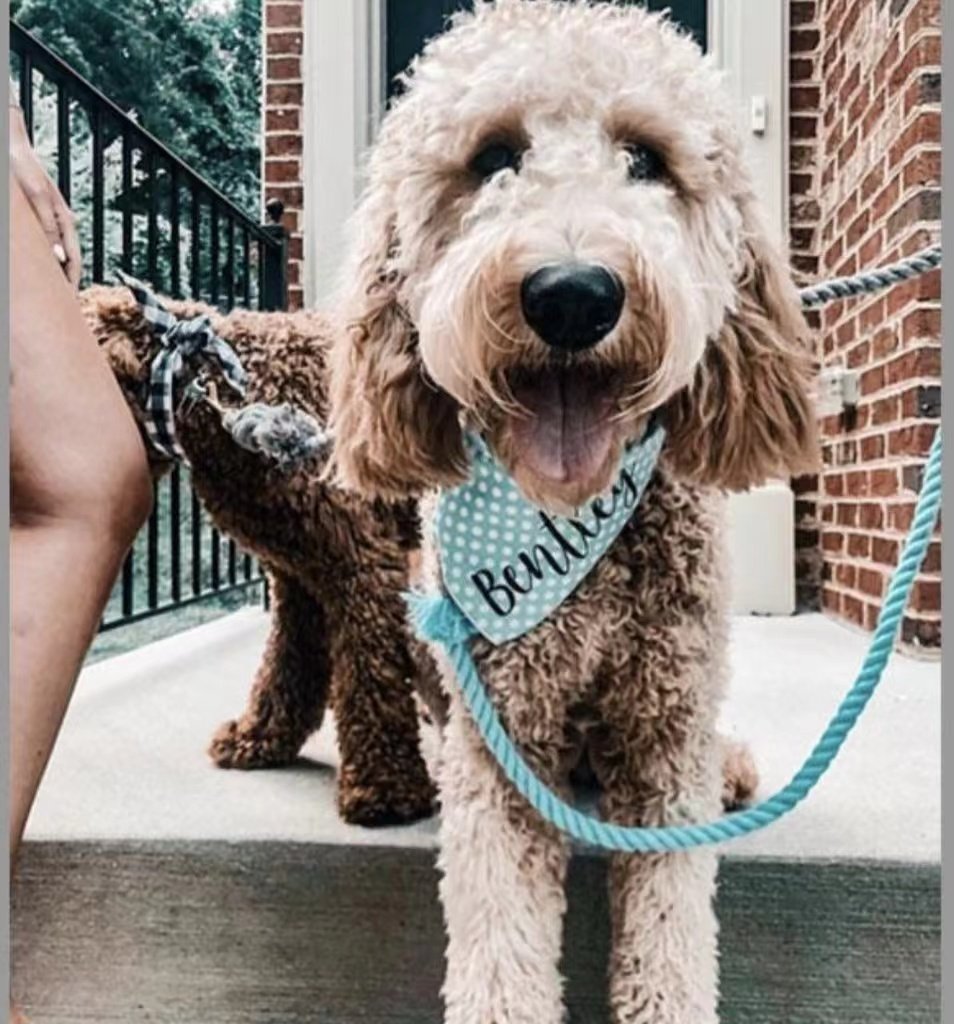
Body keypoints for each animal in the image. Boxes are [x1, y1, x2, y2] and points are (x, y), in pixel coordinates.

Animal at [331, 4, 814, 1019]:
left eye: (646, 159)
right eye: (492, 157)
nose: (573, 294)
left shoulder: (667, 734)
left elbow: (672, 931)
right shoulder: (502, 744)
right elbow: (500, 946)